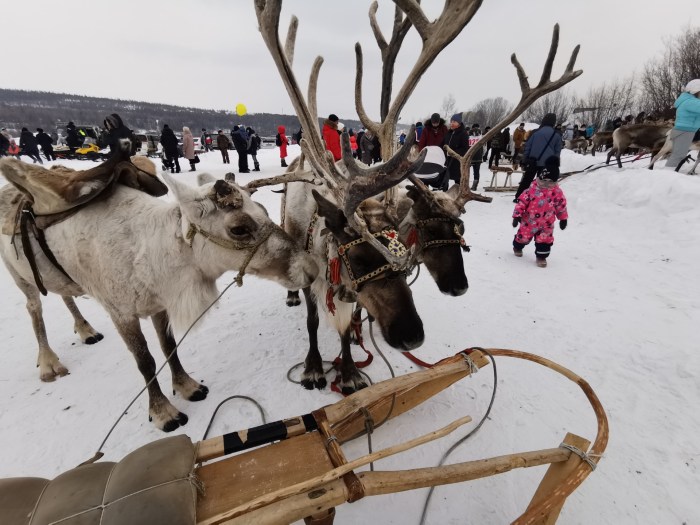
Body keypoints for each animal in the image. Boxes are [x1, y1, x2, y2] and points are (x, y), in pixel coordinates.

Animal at [0, 147, 319, 431]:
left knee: (66, 295)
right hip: (20, 278)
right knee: (34, 310)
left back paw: (86, 330)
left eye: (264, 209)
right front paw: (164, 412)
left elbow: (169, 347)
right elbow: (146, 361)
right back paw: (48, 363)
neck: (156, 256)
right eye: (239, 228)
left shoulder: (159, 304)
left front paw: (187, 386)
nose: (311, 268)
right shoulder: (121, 312)